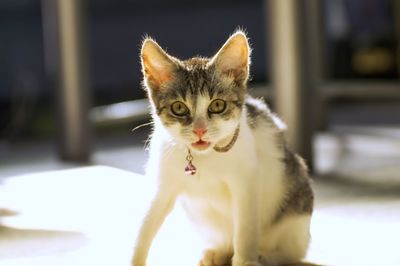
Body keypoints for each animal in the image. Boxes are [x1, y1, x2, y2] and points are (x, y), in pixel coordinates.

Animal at [131, 30, 312, 264]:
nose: (200, 130)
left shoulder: (246, 181)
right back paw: (217, 253)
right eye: (179, 108)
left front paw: (245, 261)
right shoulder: (161, 184)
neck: (204, 157)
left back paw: (265, 256)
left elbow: (245, 228)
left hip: (295, 204)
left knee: (293, 252)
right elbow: (146, 224)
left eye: (217, 105)